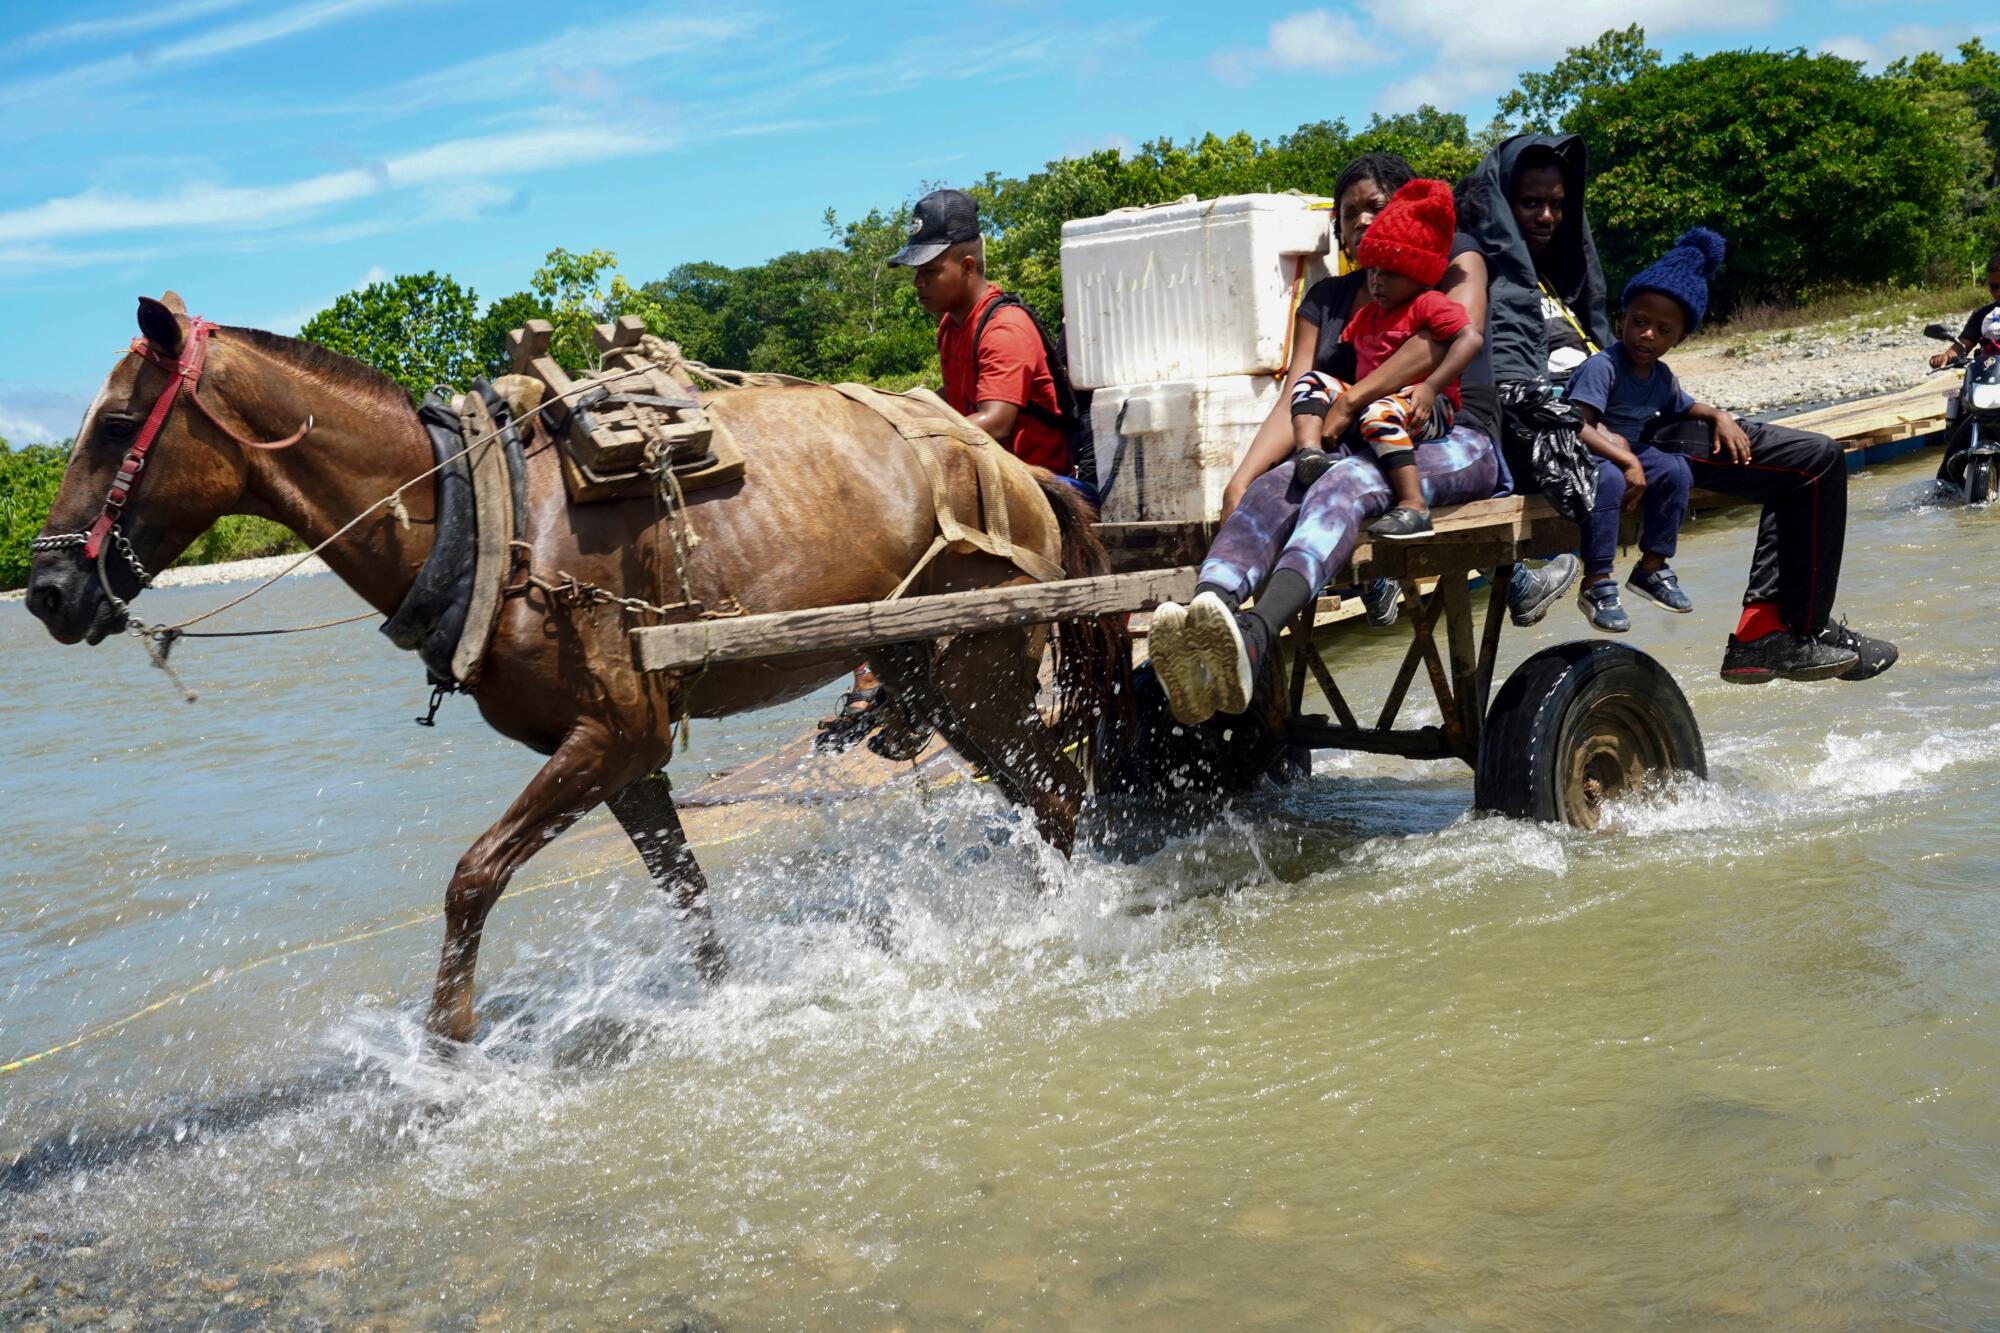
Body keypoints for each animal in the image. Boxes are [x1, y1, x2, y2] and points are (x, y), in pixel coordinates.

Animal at [27, 296, 1128, 1040]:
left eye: (118, 427)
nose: (44, 591)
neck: (481, 520)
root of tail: (1015, 472)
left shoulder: (611, 735)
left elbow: (471, 877)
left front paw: (446, 1045)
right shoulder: (624, 757)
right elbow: (685, 894)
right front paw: (728, 1000)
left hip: (976, 668)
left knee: (1060, 794)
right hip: (933, 678)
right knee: (1045, 794)